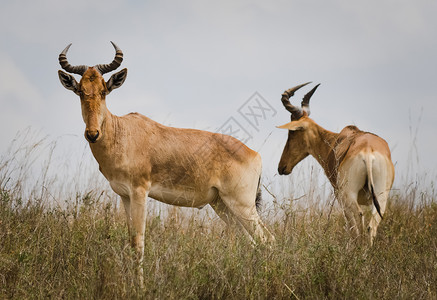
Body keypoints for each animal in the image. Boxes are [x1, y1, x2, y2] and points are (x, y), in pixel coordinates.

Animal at [57, 42, 272, 286]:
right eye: (80, 90)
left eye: (104, 91)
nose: (92, 134)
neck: (123, 132)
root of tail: (254, 154)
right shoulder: (124, 195)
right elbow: (131, 241)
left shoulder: (140, 192)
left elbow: (139, 243)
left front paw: (140, 288)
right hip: (222, 205)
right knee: (251, 242)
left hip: (242, 204)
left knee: (267, 239)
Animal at [278, 81, 394, 244]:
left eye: (292, 131)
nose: (282, 167)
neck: (336, 141)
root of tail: (368, 151)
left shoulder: (339, 195)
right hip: (381, 195)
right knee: (371, 226)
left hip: (349, 194)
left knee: (358, 220)